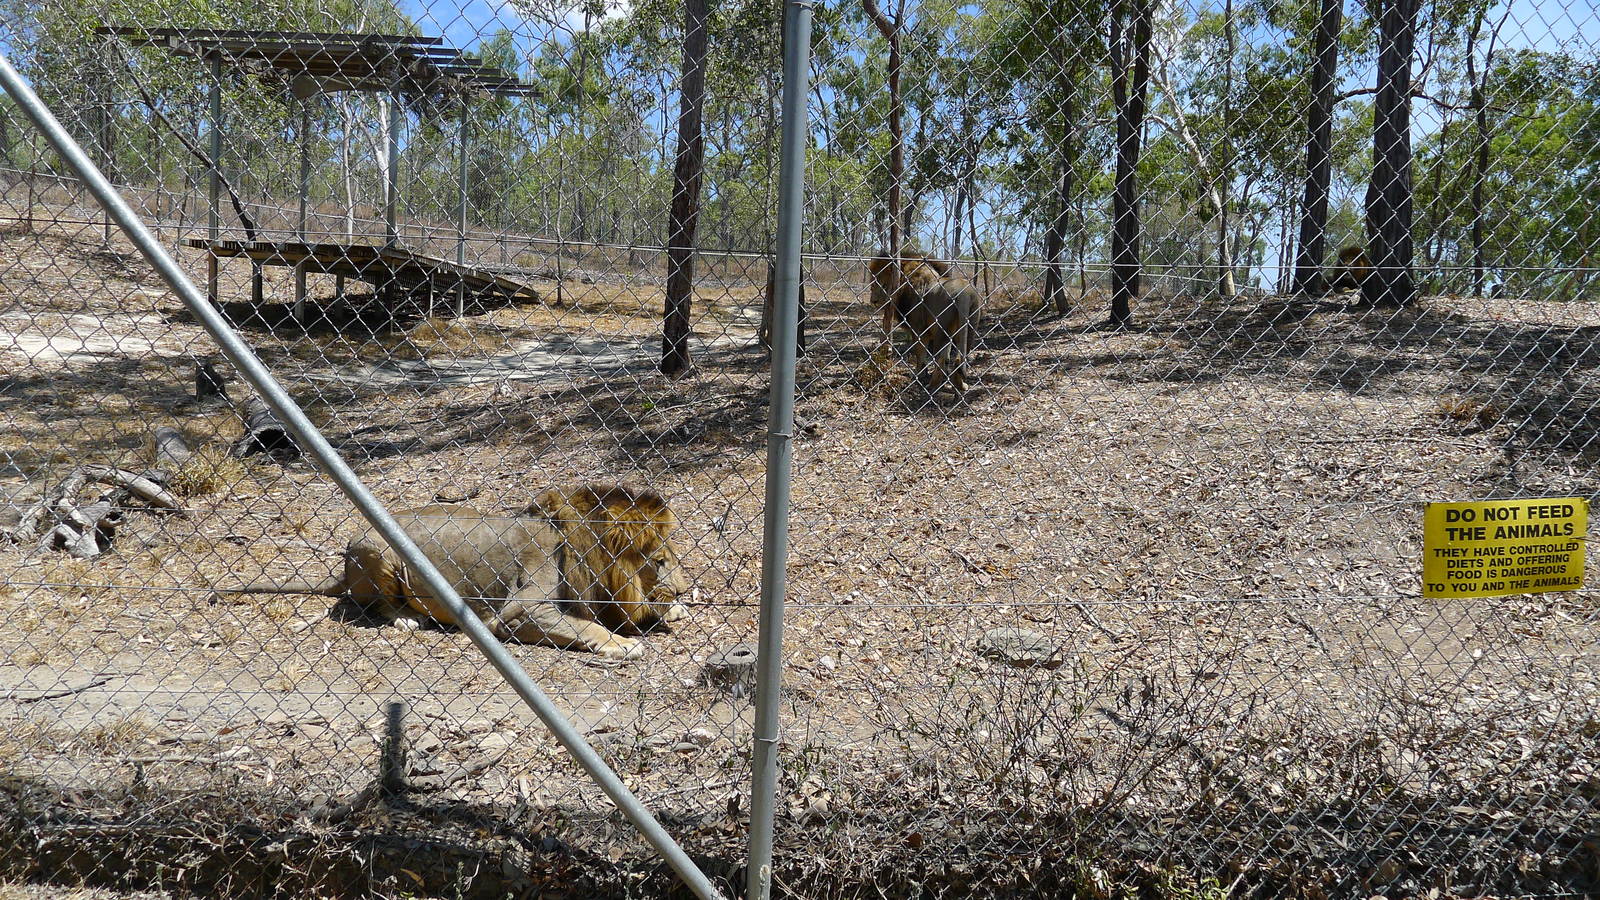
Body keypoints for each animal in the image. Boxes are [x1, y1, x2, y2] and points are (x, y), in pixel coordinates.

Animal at [212, 484, 689, 660]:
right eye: (660, 561)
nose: (685, 590)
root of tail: (342, 569)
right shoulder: (519, 613)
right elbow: (589, 627)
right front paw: (623, 644)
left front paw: (675, 610)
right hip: (375, 549)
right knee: (375, 605)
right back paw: (408, 618)